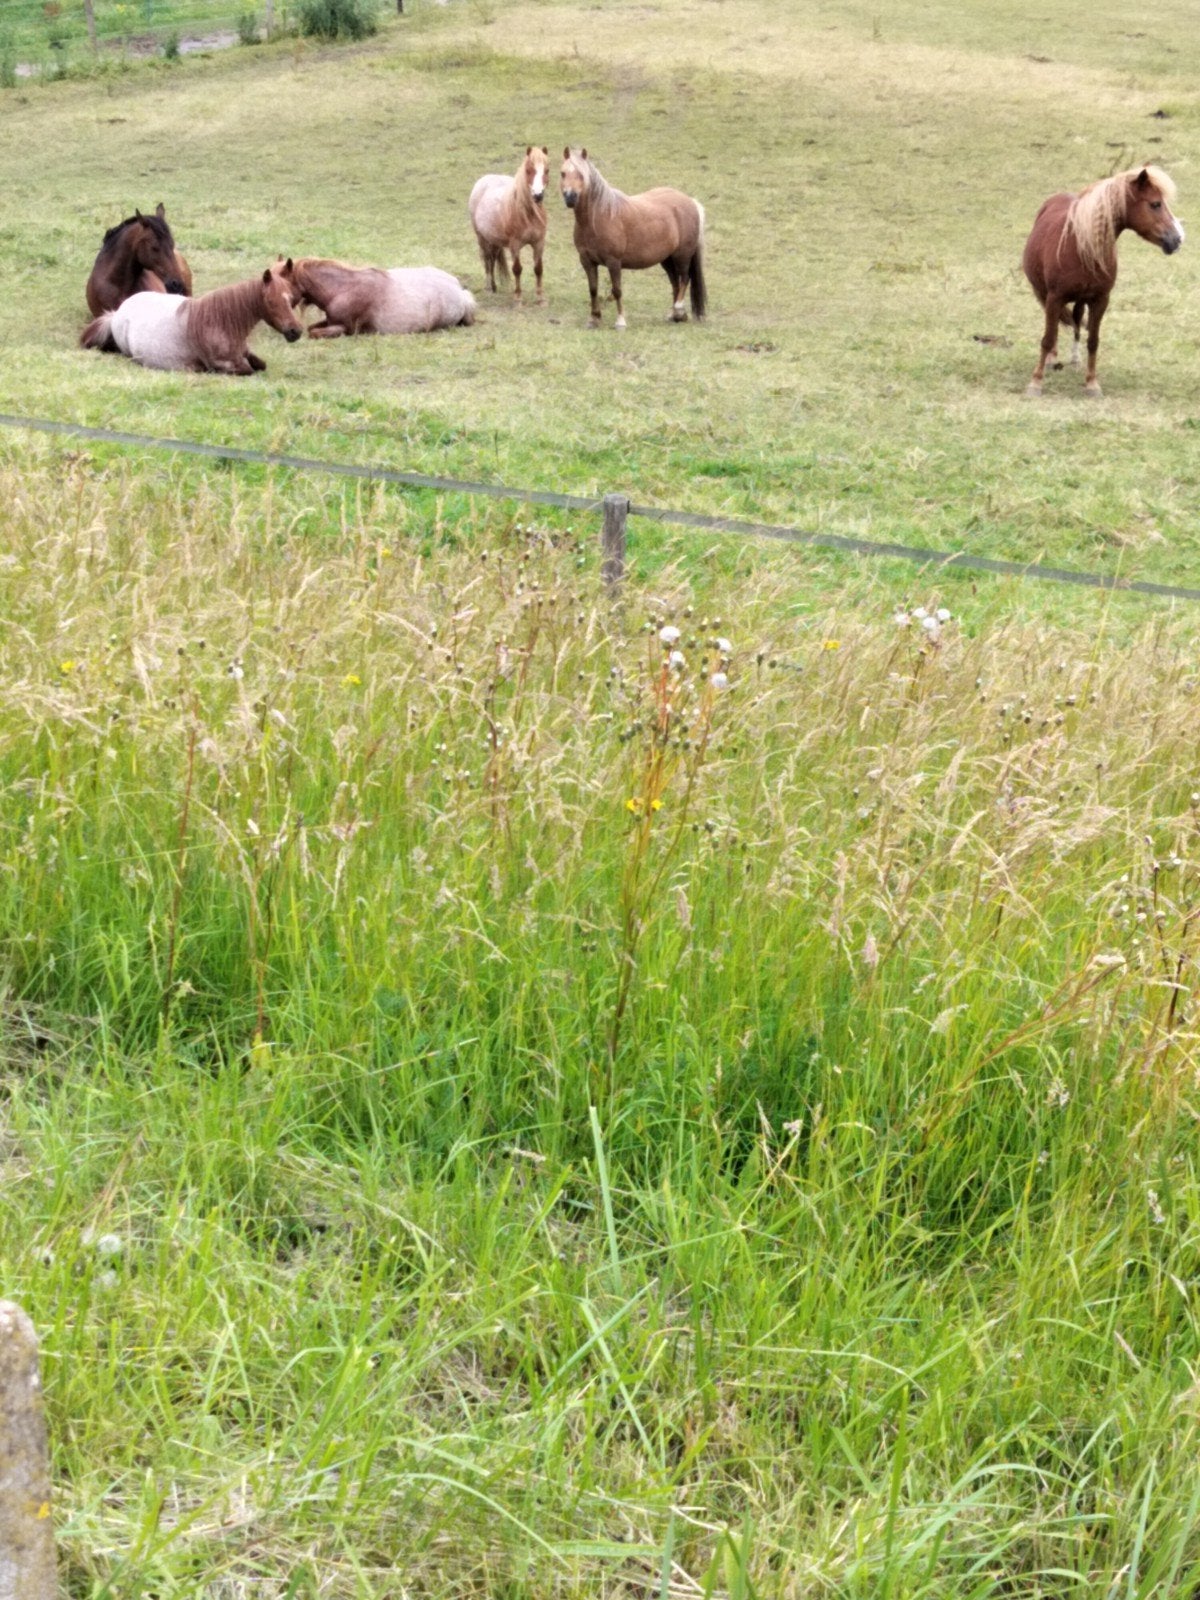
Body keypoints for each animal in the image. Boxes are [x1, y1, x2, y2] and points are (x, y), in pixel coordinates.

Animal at [79, 260, 303, 375]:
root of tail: (118, 312)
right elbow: (248, 369)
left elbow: (261, 365)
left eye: (290, 299)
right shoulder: (224, 365)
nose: (296, 331)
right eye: (271, 302)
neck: (220, 323)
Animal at [289, 258, 476, 336]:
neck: (342, 289)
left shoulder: (345, 328)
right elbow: (311, 328)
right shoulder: (330, 321)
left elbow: (314, 333)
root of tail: (459, 289)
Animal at [468, 145, 549, 302]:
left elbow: (539, 269)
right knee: (487, 260)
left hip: (494, 240)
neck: (527, 214)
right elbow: (517, 269)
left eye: (547, 170)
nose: (538, 195)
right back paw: (489, 287)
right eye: (528, 170)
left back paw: (494, 287)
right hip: (482, 238)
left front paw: (540, 298)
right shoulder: (515, 244)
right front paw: (518, 298)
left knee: (493, 259)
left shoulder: (539, 242)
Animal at [559, 148, 706, 329]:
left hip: (682, 255)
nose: (570, 197)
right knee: (675, 283)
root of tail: (691, 202)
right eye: (563, 173)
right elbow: (593, 289)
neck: (599, 217)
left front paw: (620, 321)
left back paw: (678, 310)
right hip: (667, 259)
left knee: (685, 278)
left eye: (581, 174)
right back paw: (676, 316)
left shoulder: (613, 262)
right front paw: (594, 319)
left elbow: (616, 290)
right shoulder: (587, 261)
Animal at [1022, 165, 1183, 398]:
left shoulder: (1100, 300)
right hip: (1045, 295)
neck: (1081, 246)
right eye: (1155, 204)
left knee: (1077, 320)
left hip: (1080, 299)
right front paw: (1035, 383)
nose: (1177, 239)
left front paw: (1092, 384)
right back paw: (1052, 359)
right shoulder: (1055, 297)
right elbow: (1048, 338)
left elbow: (1093, 341)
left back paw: (1075, 359)